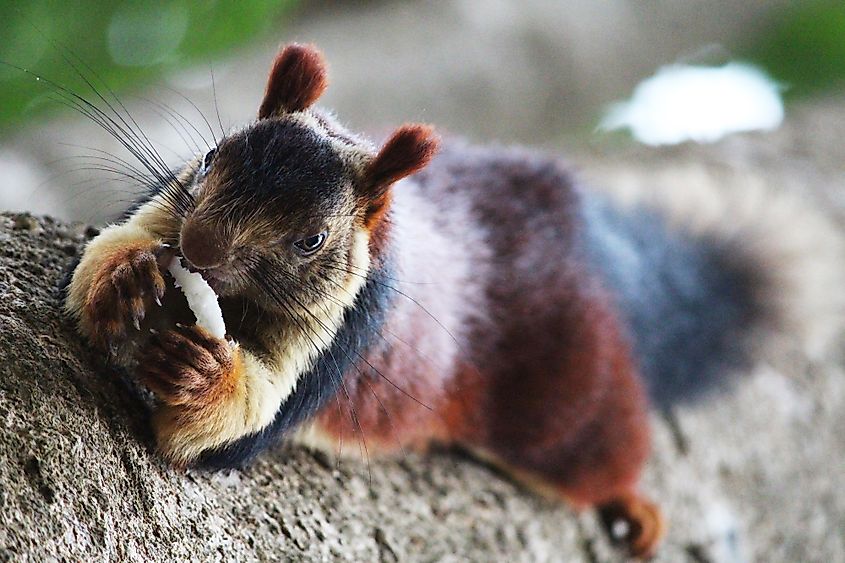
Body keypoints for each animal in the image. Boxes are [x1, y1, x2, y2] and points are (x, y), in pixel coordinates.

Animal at [62, 44, 840, 560]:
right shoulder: (166, 204)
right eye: (208, 158)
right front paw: (124, 275)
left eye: (312, 239)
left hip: (563, 402)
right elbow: (97, 264)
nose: (198, 250)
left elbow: (228, 432)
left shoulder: (344, 332)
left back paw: (630, 500)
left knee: (600, 450)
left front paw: (201, 374)